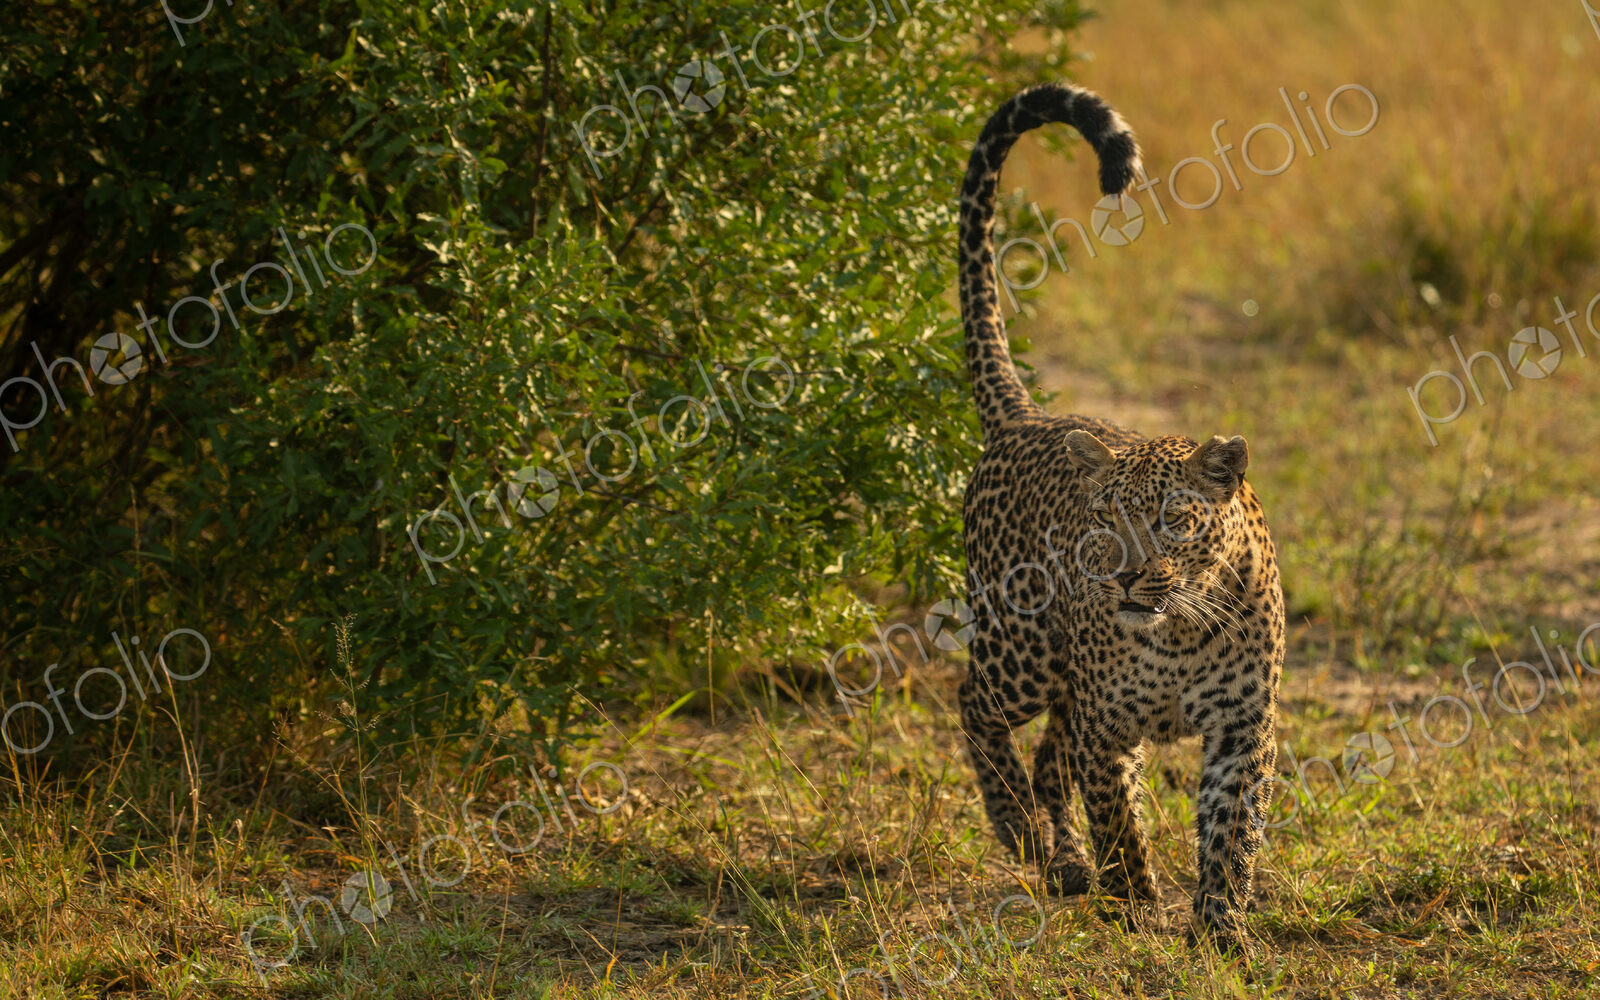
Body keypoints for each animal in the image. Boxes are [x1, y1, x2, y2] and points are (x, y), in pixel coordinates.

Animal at [953, 82, 1287, 952]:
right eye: (1105, 520)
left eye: (1175, 519)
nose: (1132, 578)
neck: (1181, 632)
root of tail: (1024, 417)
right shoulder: (1108, 725)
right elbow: (1118, 818)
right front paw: (1136, 904)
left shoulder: (1243, 729)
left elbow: (1230, 831)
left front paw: (1220, 929)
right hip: (1024, 650)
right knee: (977, 707)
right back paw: (1021, 833)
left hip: (1060, 680)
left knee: (1047, 762)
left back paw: (1063, 863)